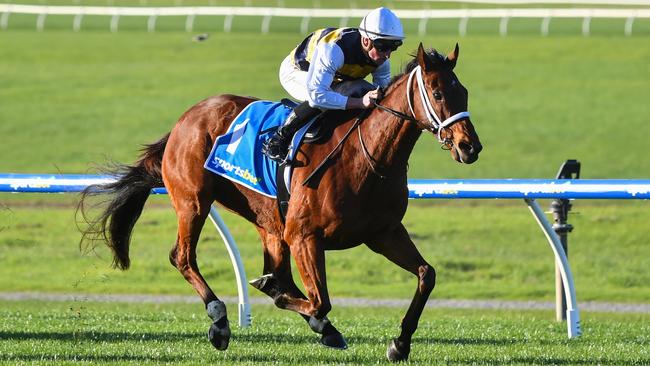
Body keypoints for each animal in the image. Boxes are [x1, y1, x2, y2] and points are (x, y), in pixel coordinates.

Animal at [78, 44, 478, 362]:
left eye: (464, 92)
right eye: (437, 93)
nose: (469, 146)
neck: (367, 157)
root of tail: (186, 118)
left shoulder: (383, 232)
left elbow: (427, 275)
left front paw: (400, 343)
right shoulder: (305, 236)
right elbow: (319, 300)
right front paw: (286, 301)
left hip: (267, 219)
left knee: (278, 270)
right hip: (194, 201)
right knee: (183, 257)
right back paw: (220, 320)